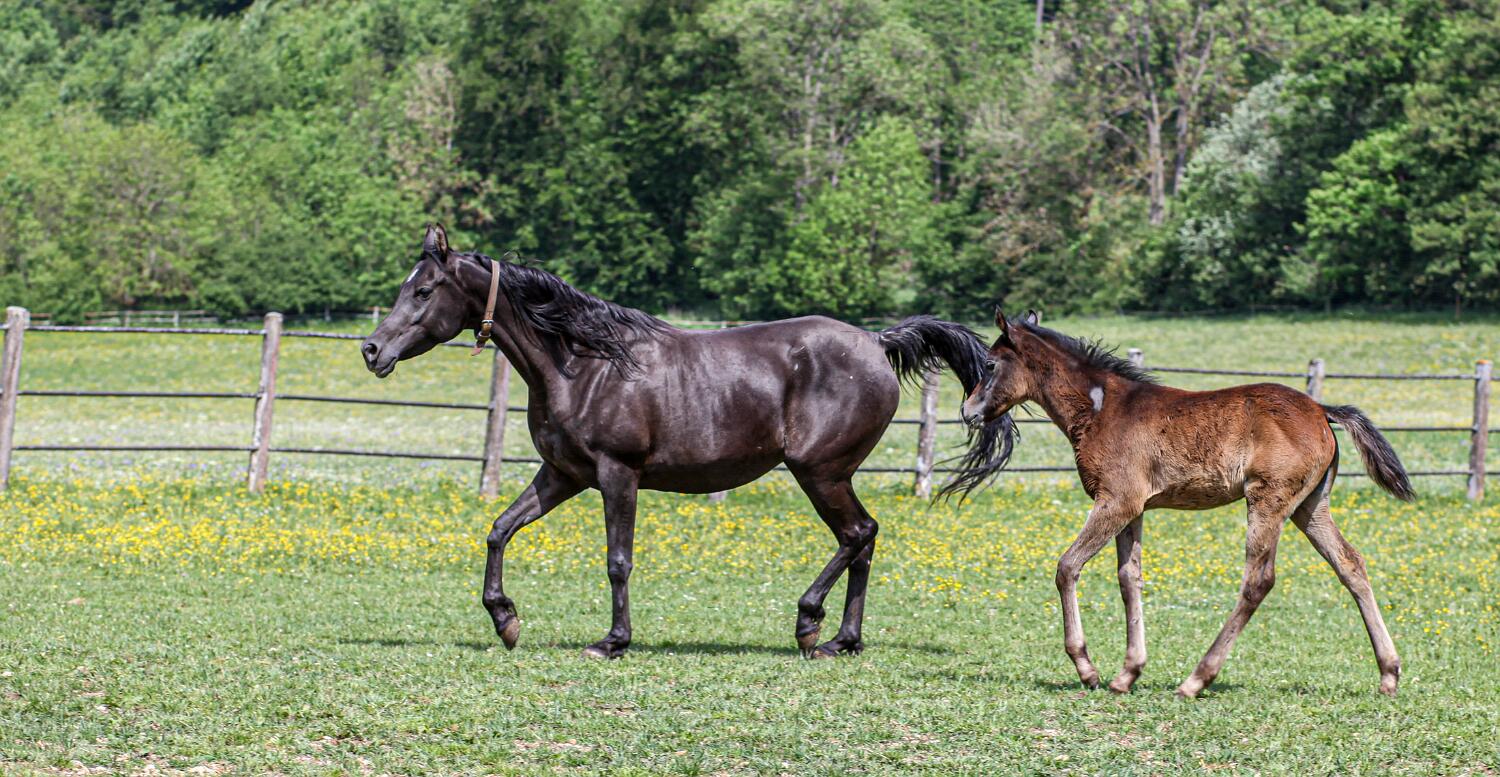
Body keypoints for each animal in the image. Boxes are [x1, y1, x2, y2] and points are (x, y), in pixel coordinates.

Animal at [360, 224, 1014, 659]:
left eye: (424, 292)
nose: (371, 350)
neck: (584, 365)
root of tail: (878, 342)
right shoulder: (562, 475)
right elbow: (499, 529)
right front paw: (506, 621)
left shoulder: (616, 475)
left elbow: (618, 560)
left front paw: (613, 641)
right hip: (831, 476)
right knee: (865, 541)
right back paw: (843, 641)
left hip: (820, 471)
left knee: (858, 534)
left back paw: (809, 626)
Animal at [957, 309, 1414, 697]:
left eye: (991, 365)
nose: (967, 411)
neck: (1100, 408)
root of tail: (1320, 409)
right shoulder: (1133, 508)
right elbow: (1129, 578)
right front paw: (1127, 673)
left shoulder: (1115, 501)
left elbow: (1067, 566)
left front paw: (1088, 669)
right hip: (1310, 507)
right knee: (1350, 564)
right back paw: (1389, 674)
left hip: (1268, 500)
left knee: (1259, 580)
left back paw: (1196, 680)